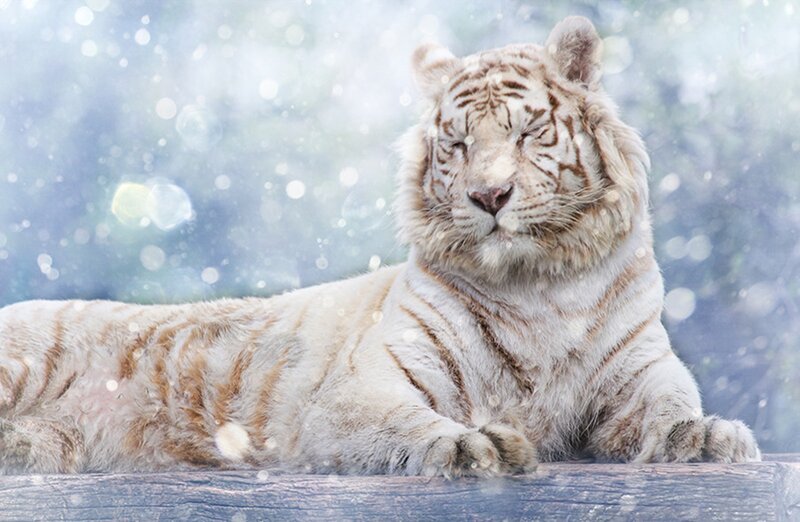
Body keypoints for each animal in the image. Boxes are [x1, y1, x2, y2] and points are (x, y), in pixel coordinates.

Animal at [0, 16, 760, 477]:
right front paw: (476, 444)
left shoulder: (643, 369)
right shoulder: (363, 388)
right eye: (458, 143)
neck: (540, 286)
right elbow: (408, 425)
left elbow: (670, 406)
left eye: (526, 133)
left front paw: (707, 436)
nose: (489, 197)